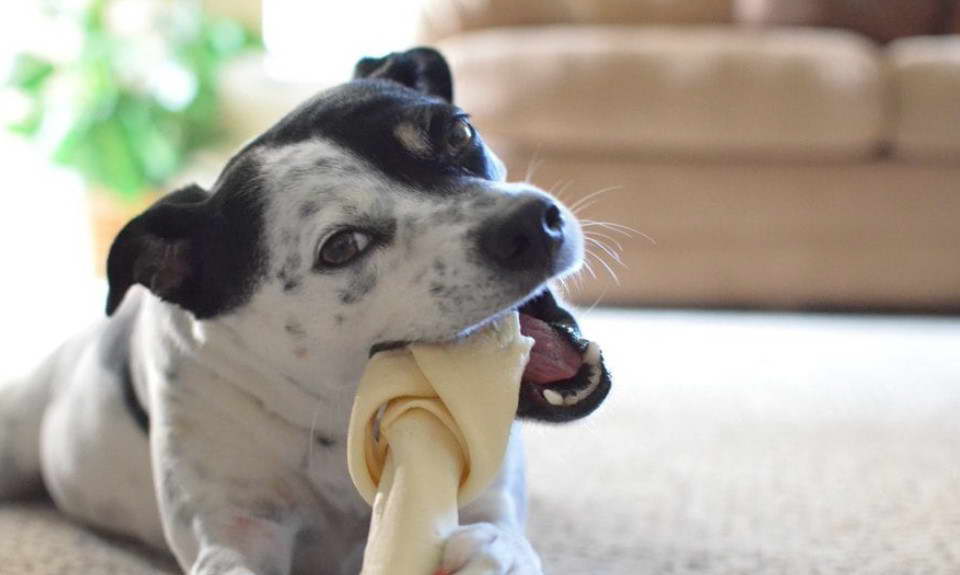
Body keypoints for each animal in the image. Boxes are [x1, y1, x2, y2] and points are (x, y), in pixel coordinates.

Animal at [0, 48, 612, 575]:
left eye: (459, 132)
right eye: (341, 246)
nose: (531, 223)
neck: (340, 415)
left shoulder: (487, 491)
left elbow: (503, 538)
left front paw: (490, 555)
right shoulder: (232, 535)